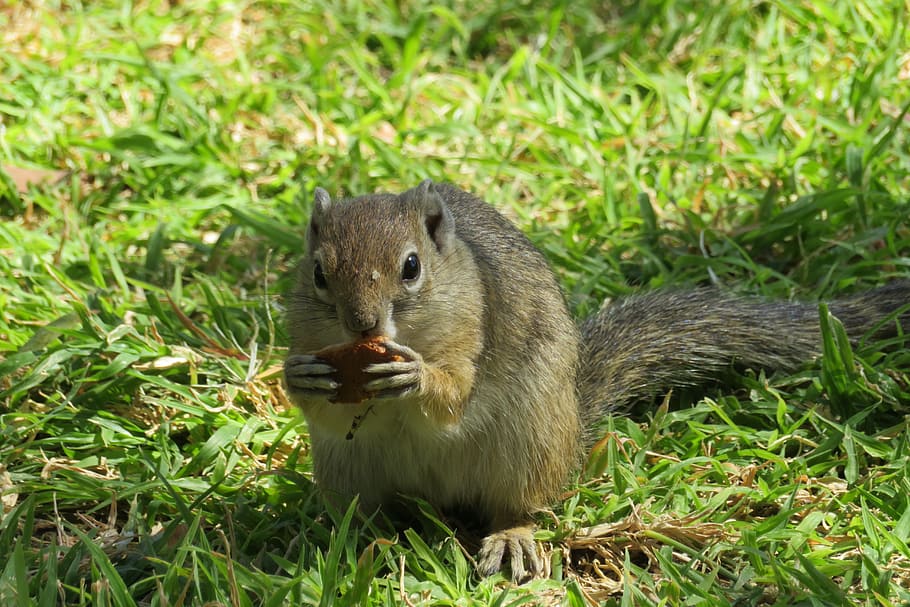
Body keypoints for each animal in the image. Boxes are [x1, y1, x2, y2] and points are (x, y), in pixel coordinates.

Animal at [284, 180, 909, 582]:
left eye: (412, 267)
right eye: (318, 273)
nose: (362, 324)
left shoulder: (476, 329)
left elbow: (455, 394)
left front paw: (415, 375)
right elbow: (321, 405)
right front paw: (302, 376)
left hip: (526, 446)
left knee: (517, 507)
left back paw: (509, 539)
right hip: (347, 468)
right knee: (365, 512)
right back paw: (359, 542)